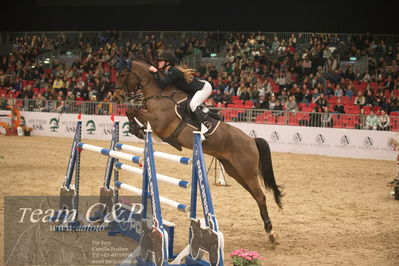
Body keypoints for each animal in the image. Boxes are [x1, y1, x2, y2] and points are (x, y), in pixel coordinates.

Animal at [115, 58, 284, 245]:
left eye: (122, 75)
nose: (116, 97)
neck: (158, 93)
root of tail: (252, 140)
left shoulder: (159, 121)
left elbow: (133, 110)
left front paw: (134, 127)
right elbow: (132, 112)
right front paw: (135, 128)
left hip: (247, 171)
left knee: (260, 196)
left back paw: (271, 233)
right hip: (235, 171)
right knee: (256, 196)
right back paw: (269, 230)